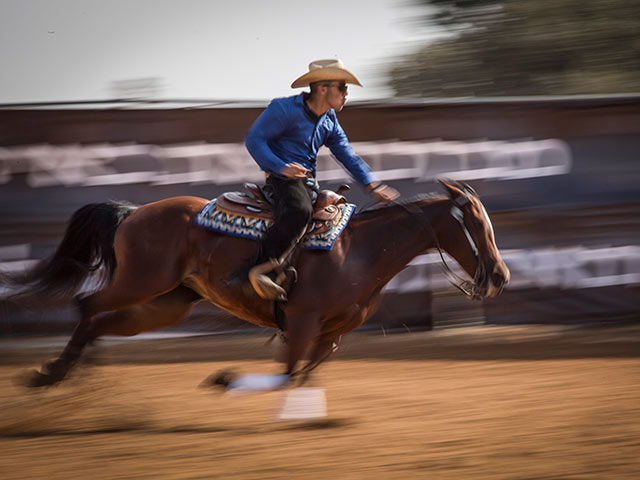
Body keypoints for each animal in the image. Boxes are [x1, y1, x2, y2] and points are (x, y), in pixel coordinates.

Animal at [1, 178, 510, 392]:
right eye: (475, 223)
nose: (501, 276)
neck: (358, 250)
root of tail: (133, 212)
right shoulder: (302, 321)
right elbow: (286, 375)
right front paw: (226, 378)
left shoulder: (332, 334)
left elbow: (300, 376)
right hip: (140, 281)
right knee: (88, 304)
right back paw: (58, 374)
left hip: (166, 302)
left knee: (101, 320)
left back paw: (72, 374)